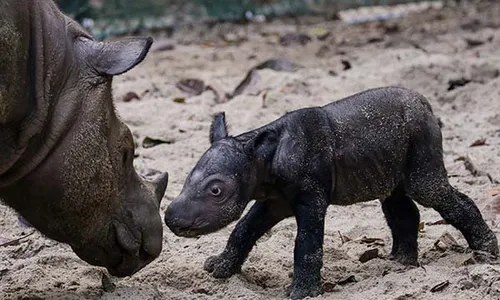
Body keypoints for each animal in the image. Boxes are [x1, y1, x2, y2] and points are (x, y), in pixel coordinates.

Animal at [166, 86, 498, 298]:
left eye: (216, 190)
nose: (171, 219)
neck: (261, 158)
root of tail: (427, 103)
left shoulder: (310, 196)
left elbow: (307, 243)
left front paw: (300, 293)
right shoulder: (274, 199)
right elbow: (244, 229)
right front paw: (219, 269)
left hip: (421, 134)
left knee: (428, 189)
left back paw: (486, 253)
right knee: (396, 200)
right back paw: (400, 264)